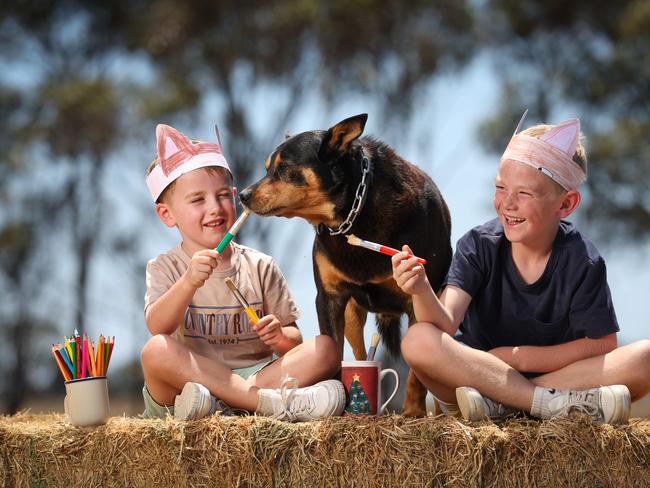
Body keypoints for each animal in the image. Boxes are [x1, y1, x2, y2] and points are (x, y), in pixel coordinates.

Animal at [238, 114, 450, 416]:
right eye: (267, 168)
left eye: (284, 167)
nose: (243, 195)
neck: (352, 214)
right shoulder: (329, 298)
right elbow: (333, 353)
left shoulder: (419, 298)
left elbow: (417, 373)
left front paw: (413, 412)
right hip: (352, 315)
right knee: (360, 354)